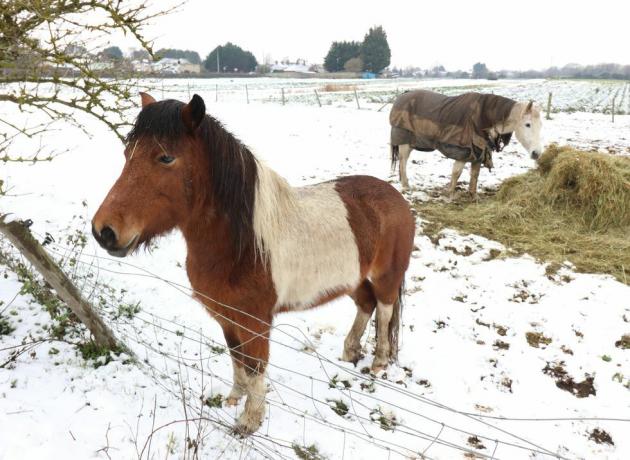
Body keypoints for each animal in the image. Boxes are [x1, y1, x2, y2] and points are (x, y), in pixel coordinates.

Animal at [91, 94, 418, 434]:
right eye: (127, 153)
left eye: (166, 157)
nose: (104, 231)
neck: (243, 244)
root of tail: (395, 196)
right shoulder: (226, 317)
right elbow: (236, 358)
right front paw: (234, 397)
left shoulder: (255, 322)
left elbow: (255, 367)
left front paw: (249, 420)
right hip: (352, 278)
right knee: (366, 304)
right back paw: (350, 350)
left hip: (386, 277)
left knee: (384, 311)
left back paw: (379, 362)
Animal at [390, 90, 544, 198]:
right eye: (528, 124)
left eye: (541, 125)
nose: (537, 153)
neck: (482, 118)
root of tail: (402, 96)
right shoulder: (463, 153)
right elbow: (456, 173)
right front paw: (450, 195)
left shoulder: (479, 154)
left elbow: (475, 175)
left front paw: (473, 195)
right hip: (404, 143)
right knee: (403, 163)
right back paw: (406, 186)